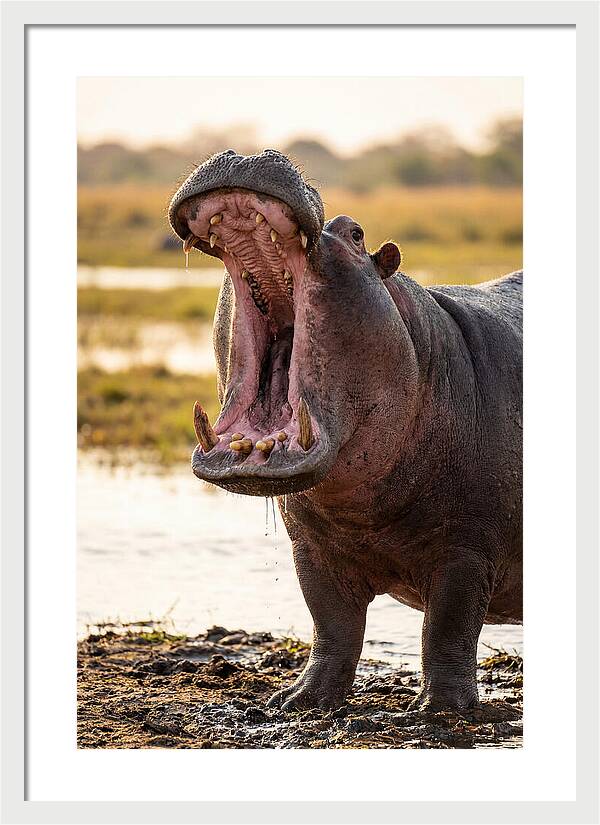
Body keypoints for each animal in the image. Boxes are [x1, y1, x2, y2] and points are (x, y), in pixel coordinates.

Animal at [168, 149, 523, 712]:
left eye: (356, 234)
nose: (248, 153)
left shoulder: (468, 549)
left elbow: (449, 627)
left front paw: (442, 711)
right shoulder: (311, 548)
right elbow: (332, 623)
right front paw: (299, 700)